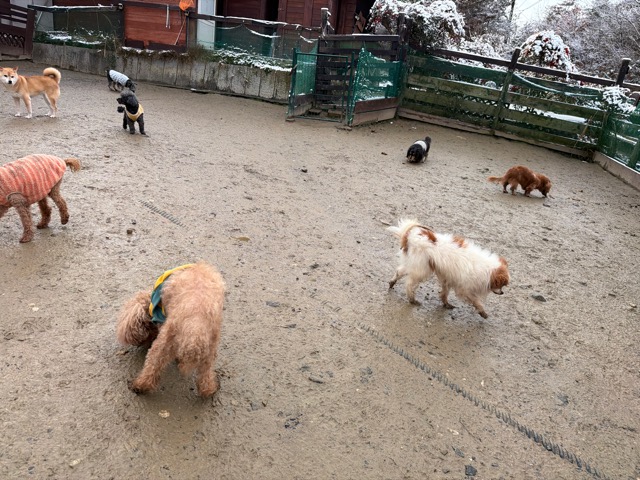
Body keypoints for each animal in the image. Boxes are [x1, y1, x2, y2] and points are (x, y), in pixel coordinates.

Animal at [116, 262, 226, 397]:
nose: (142, 343)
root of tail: (195, 330)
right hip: (209, 353)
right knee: (205, 377)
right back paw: (210, 389)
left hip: (162, 345)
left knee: (151, 368)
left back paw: (138, 386)